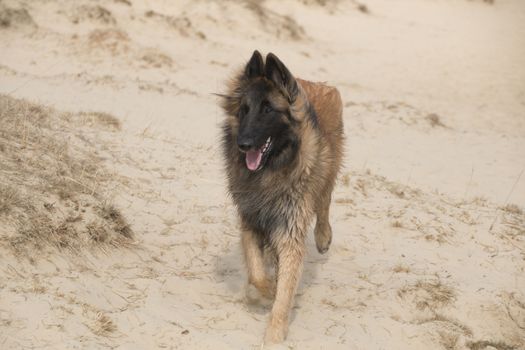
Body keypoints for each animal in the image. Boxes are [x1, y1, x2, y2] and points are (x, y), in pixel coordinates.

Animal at [218, 50, 344, 344]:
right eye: (244, 109)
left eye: (268, 110)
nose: (243, 144)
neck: (272, 170)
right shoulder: (251, 220)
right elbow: (257, 275)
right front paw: (263, 291)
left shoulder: (290, 230)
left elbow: (283, 290)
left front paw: (274, 334)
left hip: (329, 167)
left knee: (324, 202)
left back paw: (323, 237)